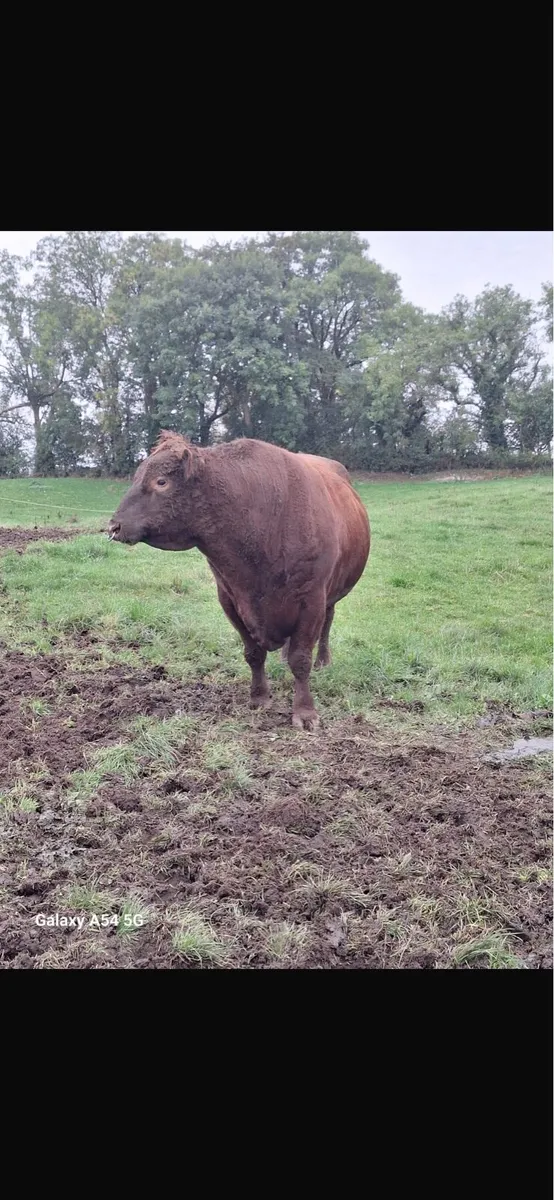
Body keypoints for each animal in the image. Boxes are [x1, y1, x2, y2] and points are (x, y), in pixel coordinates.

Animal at [108, 432, 370, 730]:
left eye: (161, 482)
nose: (114, 526)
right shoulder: (230, 599)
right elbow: (253, 654)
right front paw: (258, 698)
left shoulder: (311, 598)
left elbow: (301, 659)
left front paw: (304, 712)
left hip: (331, 594)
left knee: (327, 624)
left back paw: (324, 660)